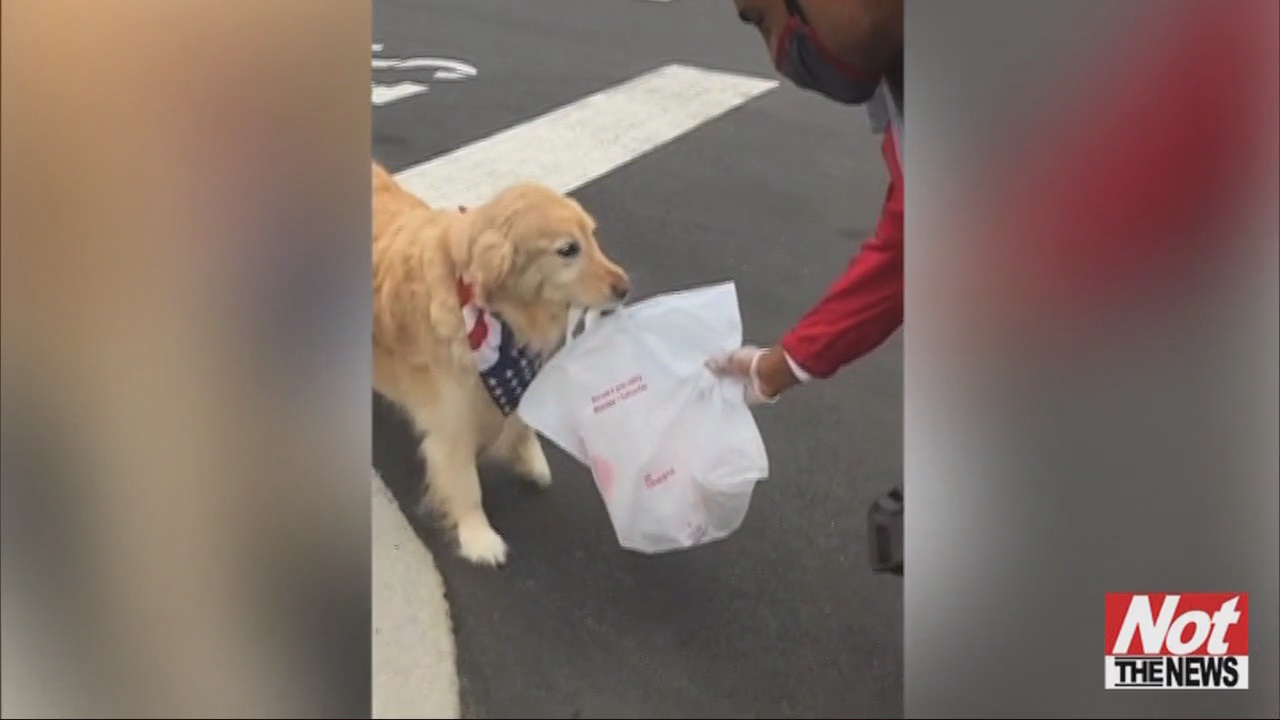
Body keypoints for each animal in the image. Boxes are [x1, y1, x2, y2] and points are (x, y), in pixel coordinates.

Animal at [371, 162, 629, 566]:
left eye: (592, 235)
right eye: (568, 250)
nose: (625, 287)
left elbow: (522, 427)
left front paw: (530, 461)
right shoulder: (452, 419)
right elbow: (465, 482)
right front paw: (478, 537)